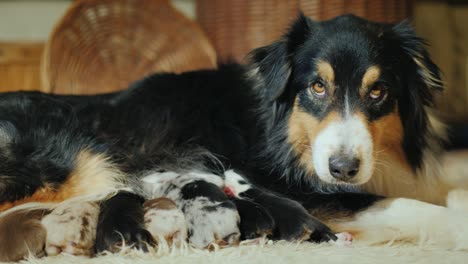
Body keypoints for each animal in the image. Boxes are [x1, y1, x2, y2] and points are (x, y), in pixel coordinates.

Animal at [0, 12, 468, 260]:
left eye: (378, 91)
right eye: (317, 87)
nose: (344, 169)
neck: (280, 128)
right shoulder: (303, 192)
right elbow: (409, 206)